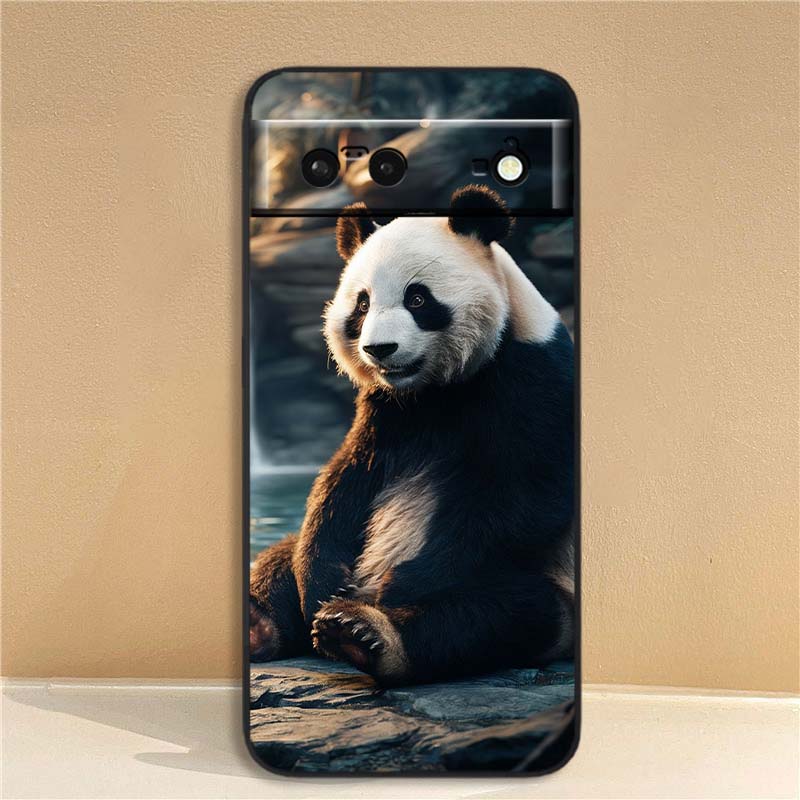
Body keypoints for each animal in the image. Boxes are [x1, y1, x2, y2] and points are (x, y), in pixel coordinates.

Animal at [249, 185, 575, 686]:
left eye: (418, 299)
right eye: (362, 304)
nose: (380, 349)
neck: (434, 389)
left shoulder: (536, 382)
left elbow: (523, 496)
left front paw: (401, 584)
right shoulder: (385, 411)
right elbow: (345, 478)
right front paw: (324, 581)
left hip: (551, 586)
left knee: (503, 614)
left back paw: (364, 632)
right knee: (281, 555)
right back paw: (263, 624)